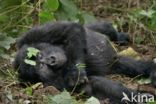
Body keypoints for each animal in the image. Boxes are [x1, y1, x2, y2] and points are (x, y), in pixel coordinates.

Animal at [13, 21, 156, 103]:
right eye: (41, 66)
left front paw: (76, 72)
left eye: (40, 55)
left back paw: (119, 36)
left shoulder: (30, 35)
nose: (52, 60)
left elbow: (70, 29)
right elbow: (93, 86)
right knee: (130, 65)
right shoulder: (56, 85)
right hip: (116, 63)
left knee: (105, 28)